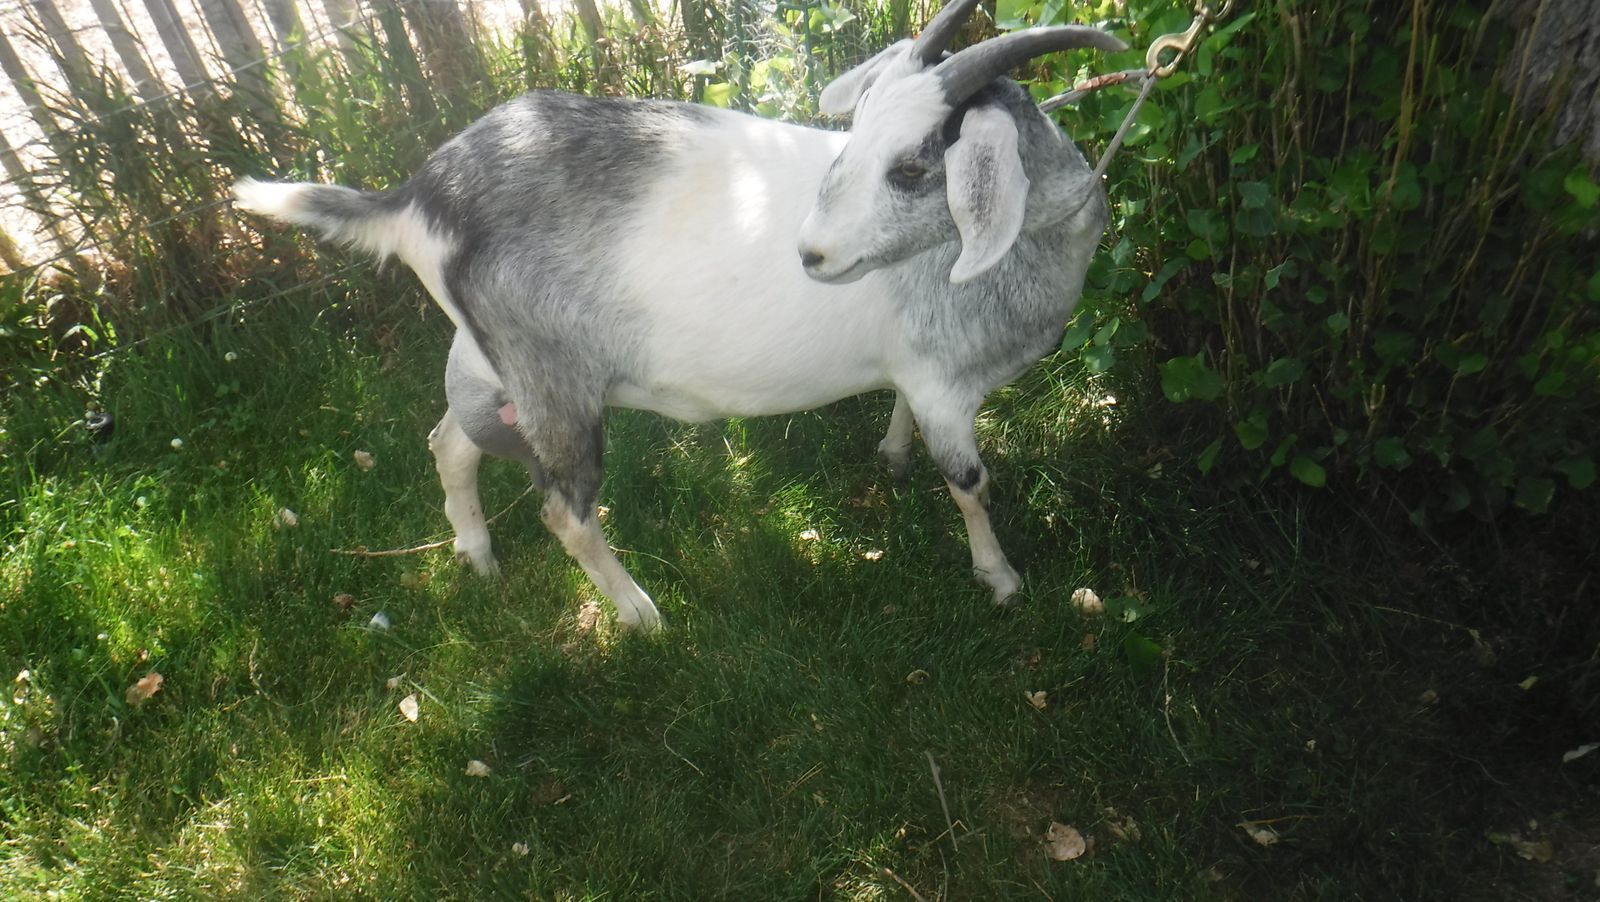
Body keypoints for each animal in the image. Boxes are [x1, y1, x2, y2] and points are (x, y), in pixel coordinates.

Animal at [233, 0, 1124, 631]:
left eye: (910, 166)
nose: (812, 255)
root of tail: (418, 195)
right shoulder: (943, 383)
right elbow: (970, 483)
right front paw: (1000, 579)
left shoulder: (915, 369)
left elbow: (906, 422)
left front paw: (893, 455)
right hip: (557, 382)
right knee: (564, 511)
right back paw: (638, 612)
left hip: (494, 359)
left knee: (449, 439)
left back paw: (476, 553)